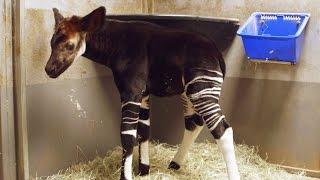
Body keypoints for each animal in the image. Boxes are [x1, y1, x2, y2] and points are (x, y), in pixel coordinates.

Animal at [45, 6, 240, 180]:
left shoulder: (131, 92)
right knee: (194, 123)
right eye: (51, 43)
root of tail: (217, 53)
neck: (116, 44)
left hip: (202, 87)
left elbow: (127, 135)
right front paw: (144, 170)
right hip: (191, 92)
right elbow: (144, 131)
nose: (48, 70)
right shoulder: (143, 94)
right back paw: (174, 163)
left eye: (70, 45)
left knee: (222, 129)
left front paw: (126, 176)